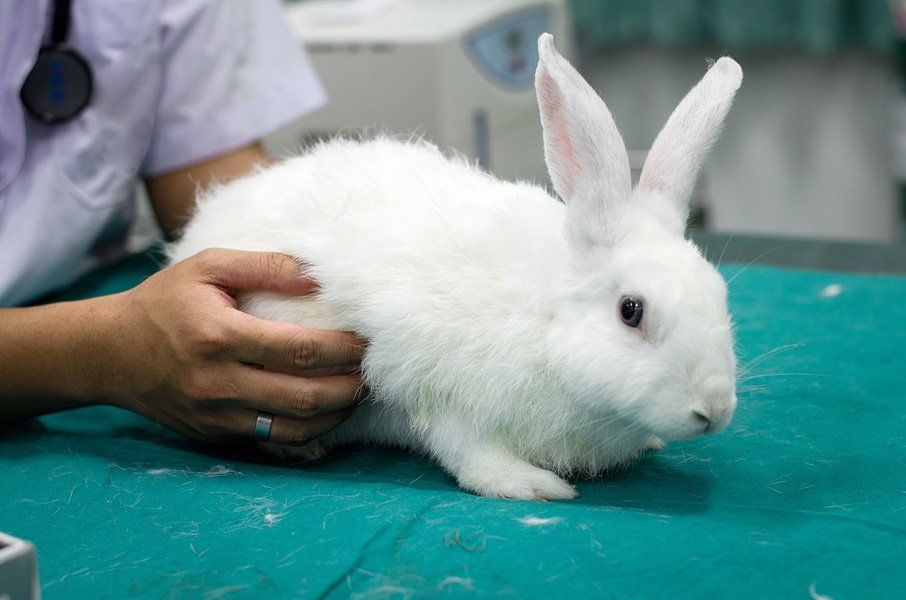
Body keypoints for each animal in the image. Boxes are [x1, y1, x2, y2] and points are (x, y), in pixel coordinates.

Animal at [167, 34, 742, 501]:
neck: (544, 321)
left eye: (719, 295)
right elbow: (468, 454)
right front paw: (533, 485)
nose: (714, 410)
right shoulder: (444, 398)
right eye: (631, 311)